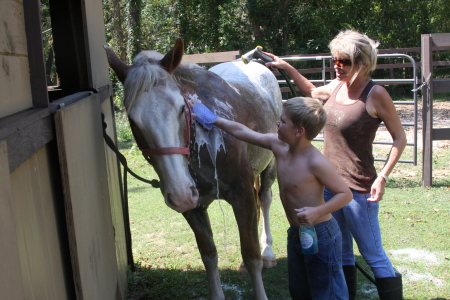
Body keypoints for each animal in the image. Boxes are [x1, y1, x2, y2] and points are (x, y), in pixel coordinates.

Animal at [104, 38, 282, 300]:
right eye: (133, 121)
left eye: (181, 108)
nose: (180, 193)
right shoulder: (193, 208)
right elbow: (209, 255)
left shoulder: (242, 195)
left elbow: (251, 256)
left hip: (269, 164)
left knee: (266, 200)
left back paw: (268, 252)